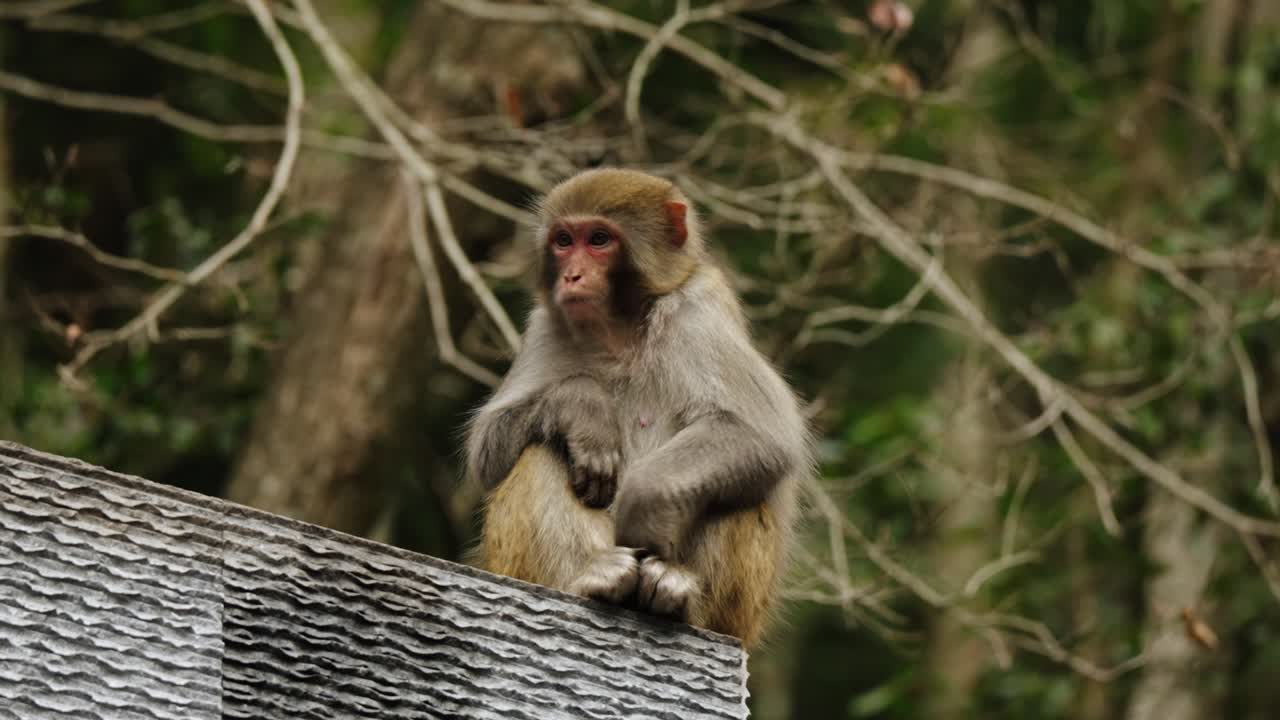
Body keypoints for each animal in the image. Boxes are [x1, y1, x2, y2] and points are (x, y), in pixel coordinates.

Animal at [465, 168, 811, 648]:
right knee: (537, 453)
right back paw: (595, 577)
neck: (621, 334)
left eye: (598, 239)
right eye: (563, 240)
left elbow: (764, 434)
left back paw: (678, 594)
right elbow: (488, 452)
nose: (571, 276)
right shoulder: (545, 328)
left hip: (739, 619)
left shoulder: (698, 313)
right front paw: (584, 408)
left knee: (742, 490)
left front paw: (647, 500)